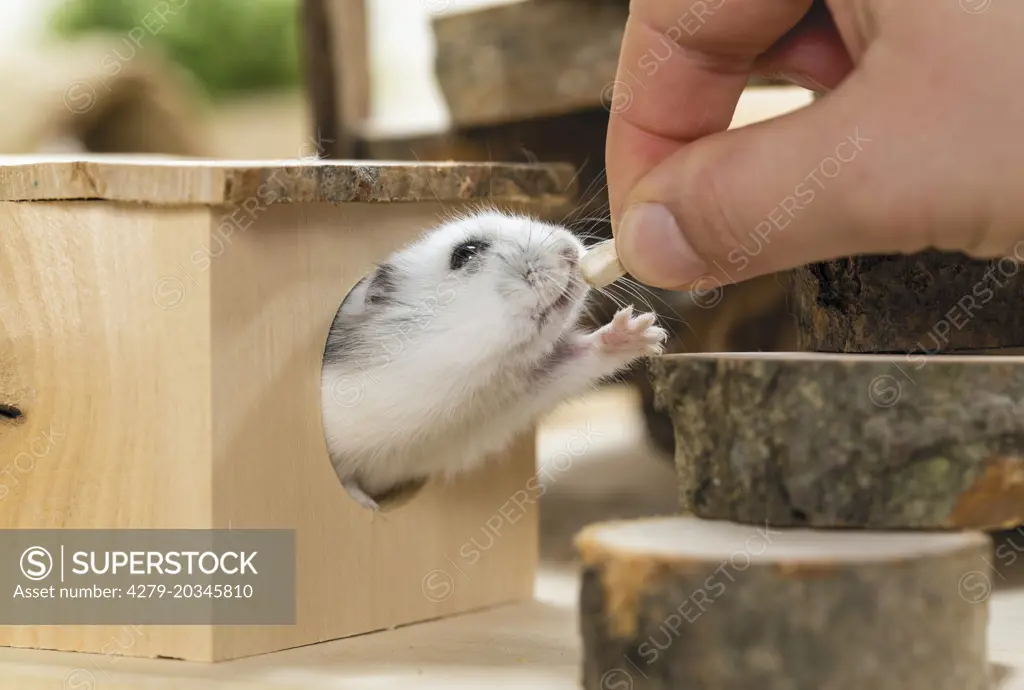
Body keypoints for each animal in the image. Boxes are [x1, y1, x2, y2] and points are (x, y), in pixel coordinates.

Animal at [323, 209, 667, 509]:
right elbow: (344, 478)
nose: (569, 249)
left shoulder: (503, 405)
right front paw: (367, 505)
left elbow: (577, 359)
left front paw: (645, 332)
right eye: (465, 253)